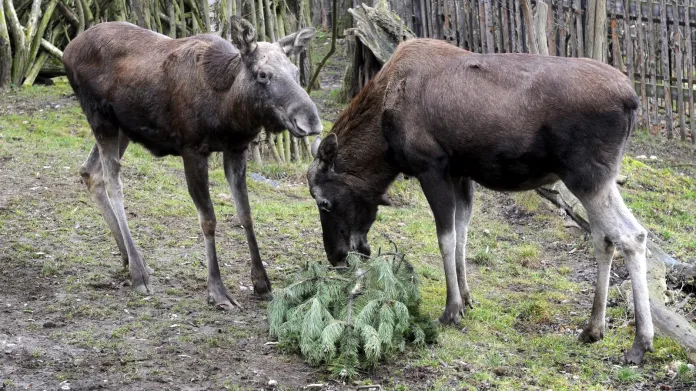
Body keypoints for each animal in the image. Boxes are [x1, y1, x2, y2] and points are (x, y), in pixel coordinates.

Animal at [61, 18, 320, 310]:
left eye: (296, 71)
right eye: (263, 74)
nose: (310, 121)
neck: (229, 110)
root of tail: (66, 50)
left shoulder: (236, 149)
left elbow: (246, 213)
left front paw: (262, 283)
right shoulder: (192, 150)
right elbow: (208, 219)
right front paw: (217, 290)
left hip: (123, 128)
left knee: (90, 172)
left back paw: (130, 259)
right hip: (100, 118)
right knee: (113, 182)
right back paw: (139, 272)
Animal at [308, 38, 652, 366]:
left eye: (324, 202)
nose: (336, 257)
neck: (384, 143)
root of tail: (632, 101)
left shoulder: (431, 167)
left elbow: (445, 237)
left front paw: (451, 309)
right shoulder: (461, 173)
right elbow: (462, 233)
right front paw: (466, 298)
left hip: (586, 175)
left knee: (631, 235)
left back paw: (639, 343)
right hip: (598, 179)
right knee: (604, 238)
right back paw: (593, 328)